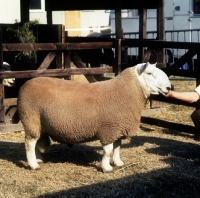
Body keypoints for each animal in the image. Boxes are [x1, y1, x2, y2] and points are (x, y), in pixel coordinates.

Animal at [17, 62, 171, 172]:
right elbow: (108, 151)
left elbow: (117, 148)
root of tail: (25, 85)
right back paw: (33, 165)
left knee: (36, 142)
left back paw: (38, 159)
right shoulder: (109, 129)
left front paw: (118, 163)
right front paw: (106, 167)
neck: (126, 91)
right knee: (30, 143)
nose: (169, 88)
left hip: (40, 123)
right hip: (31, 119)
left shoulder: (118, 128)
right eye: (149, 73)